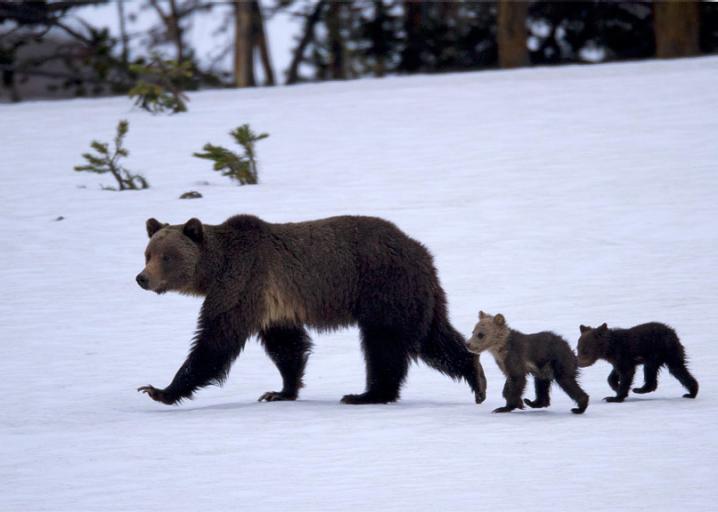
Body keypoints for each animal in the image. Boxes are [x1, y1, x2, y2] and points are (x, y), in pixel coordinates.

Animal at [136, 214, 486, 406]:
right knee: (435, 339)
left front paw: (159, 389)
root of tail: (422, 252)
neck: (214, 270)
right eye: (147, 253)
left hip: (384, 287)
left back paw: (366, 394)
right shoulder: (273, 306)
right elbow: (287, 346)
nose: (142, 278)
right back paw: (476, 377)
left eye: (166, 256)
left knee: (384, 346)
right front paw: (280, 391)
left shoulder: (244, 282)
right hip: (418, 296)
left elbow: (215, 340)